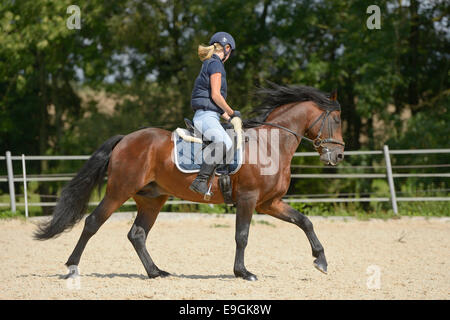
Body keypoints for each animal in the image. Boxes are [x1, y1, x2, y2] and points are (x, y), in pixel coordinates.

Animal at [34, 82, 344, 280]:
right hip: (118, 192)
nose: (339, 155)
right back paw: (72, 267)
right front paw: (242, 273)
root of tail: (126, 139)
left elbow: (305, 222)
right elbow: (242, 236)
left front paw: (321, 261)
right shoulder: (249, 199)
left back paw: (155, 272)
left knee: (137, 234)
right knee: (92, 223)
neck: (270, 145)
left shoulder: (270, 203)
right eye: (338, 120)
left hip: (152, 199)